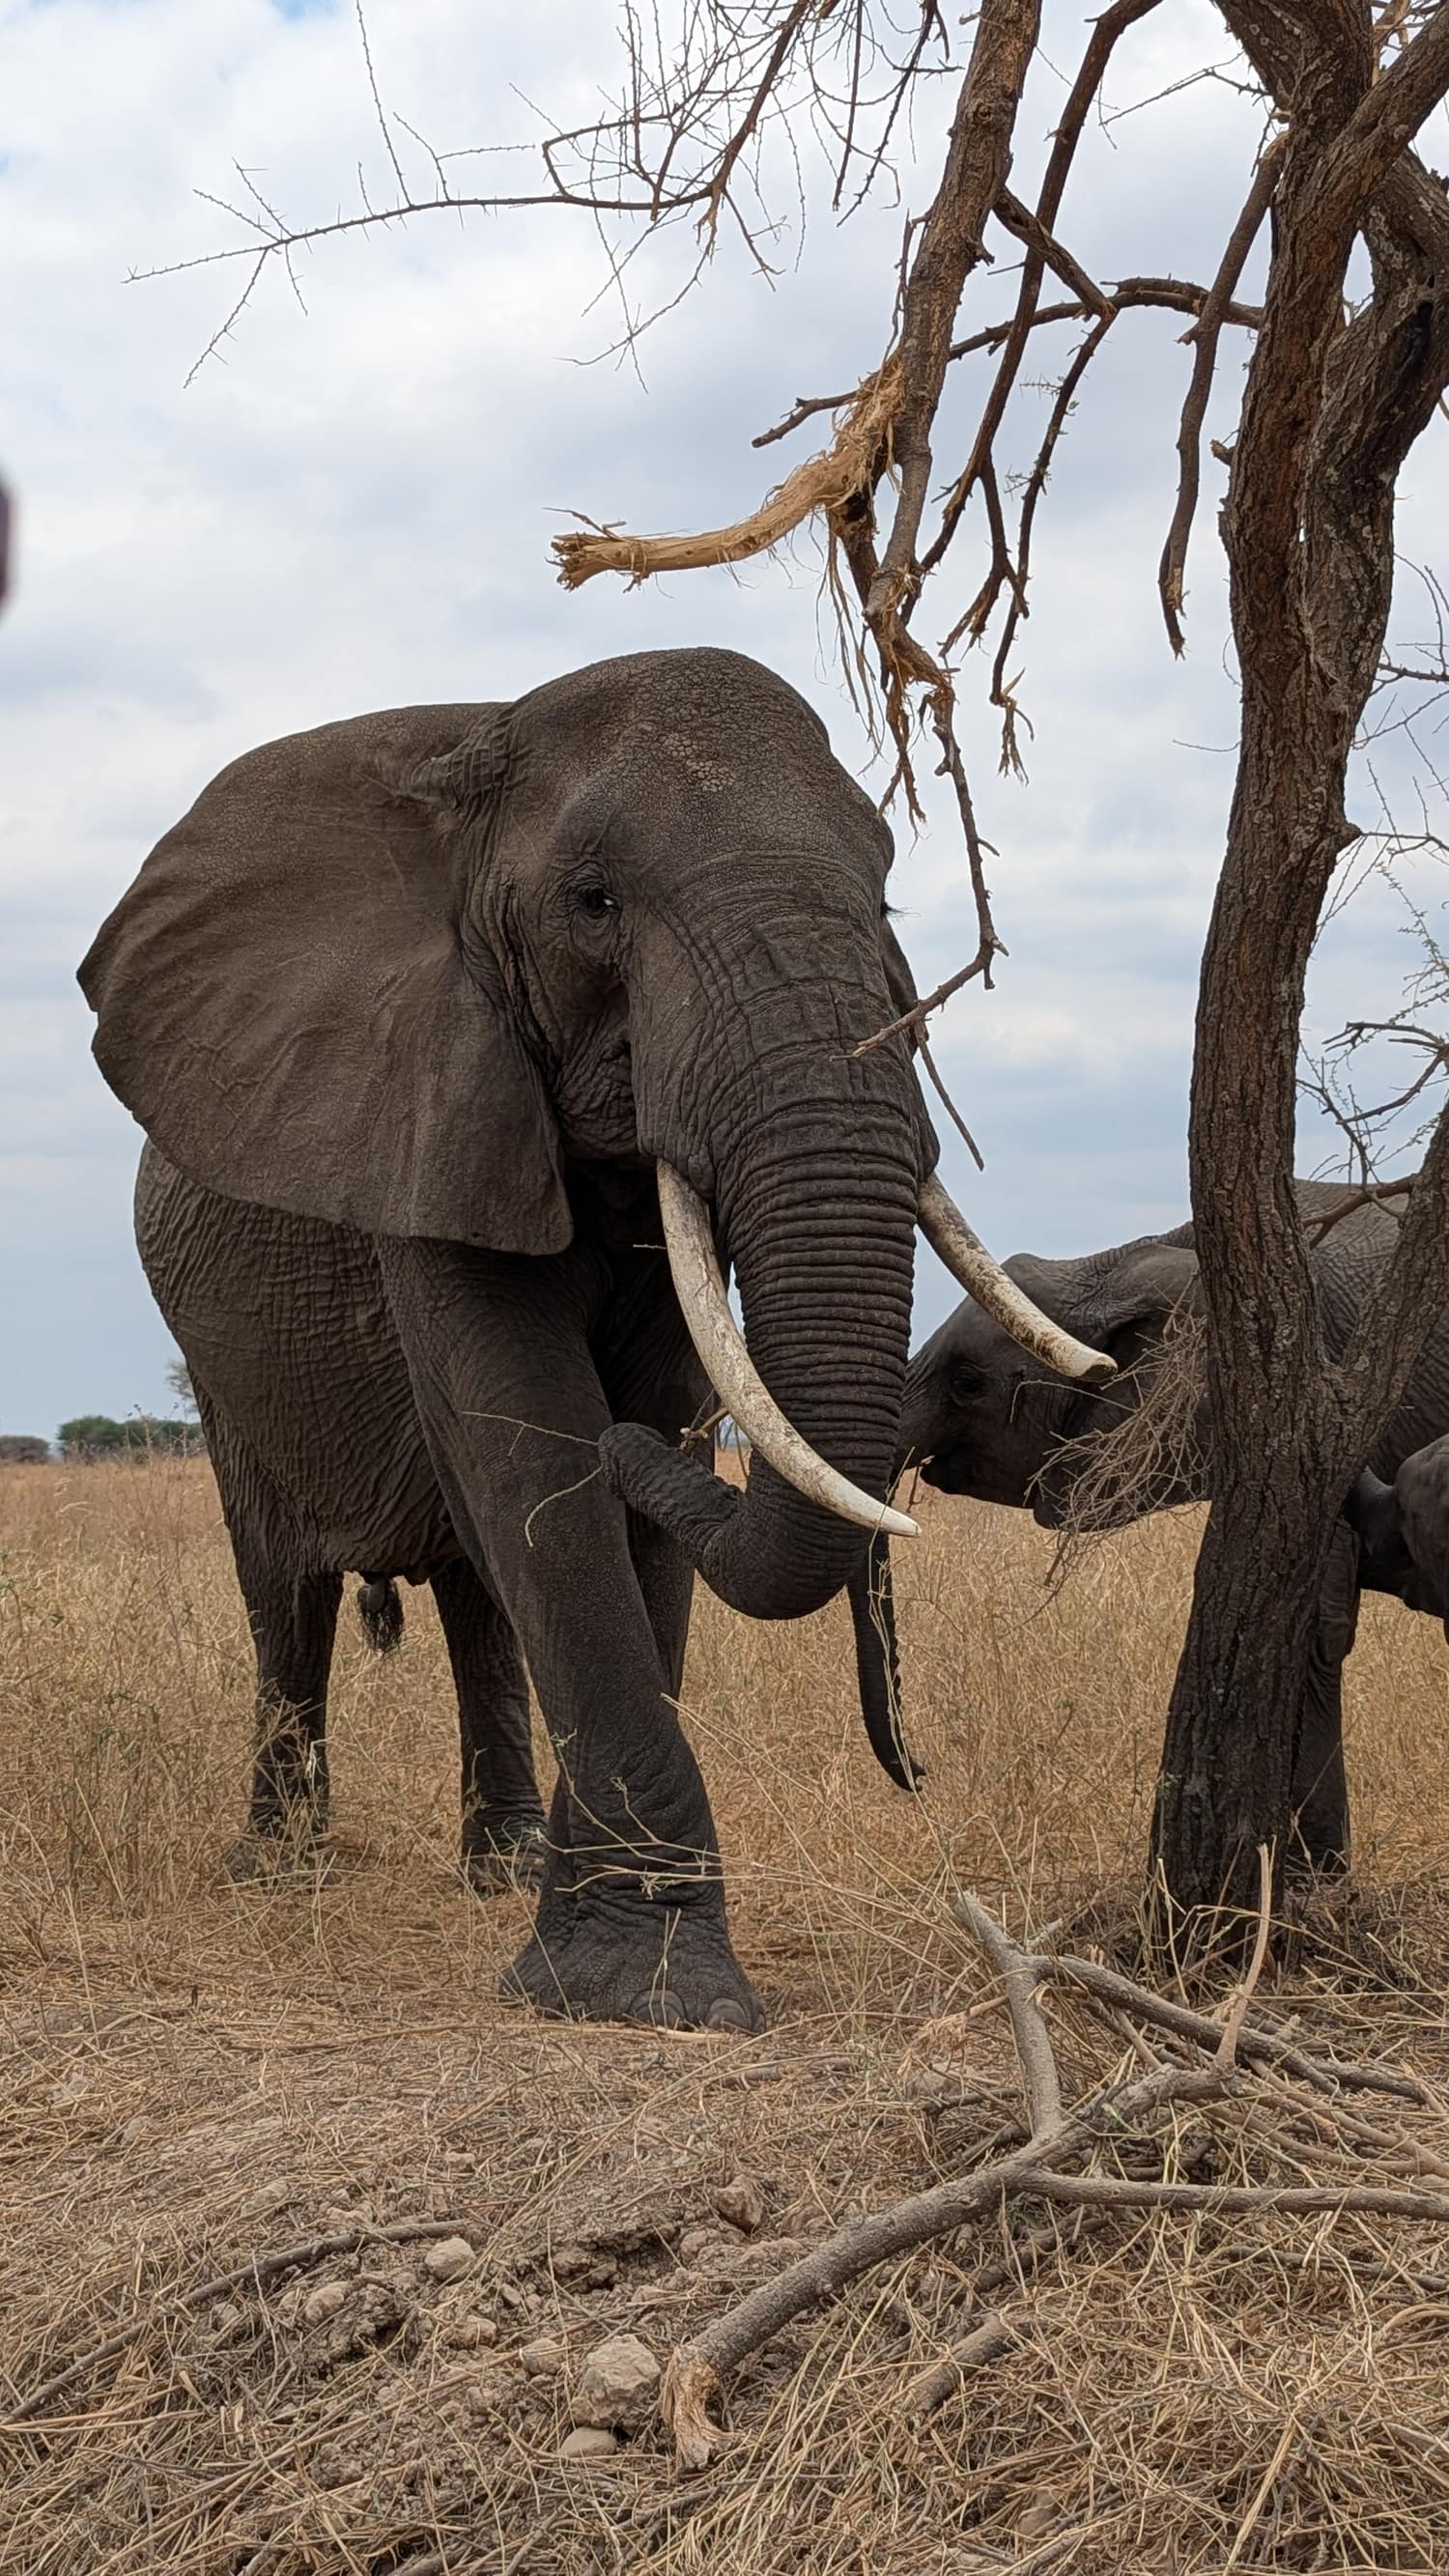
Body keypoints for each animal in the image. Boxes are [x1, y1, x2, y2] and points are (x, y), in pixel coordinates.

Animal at [80, 646, 1108, 2030]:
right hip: (220, 1367)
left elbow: (606, 1509)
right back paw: (279, 1871)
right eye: (593, 902)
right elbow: (527, 1449)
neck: (474, 755)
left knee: (473, 1600)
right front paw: (641, 1992)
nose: (921, 1772)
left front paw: (600, 1938)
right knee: (284, 1589)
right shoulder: (431, 1102)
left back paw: (505, 1865)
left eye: (888, 891)